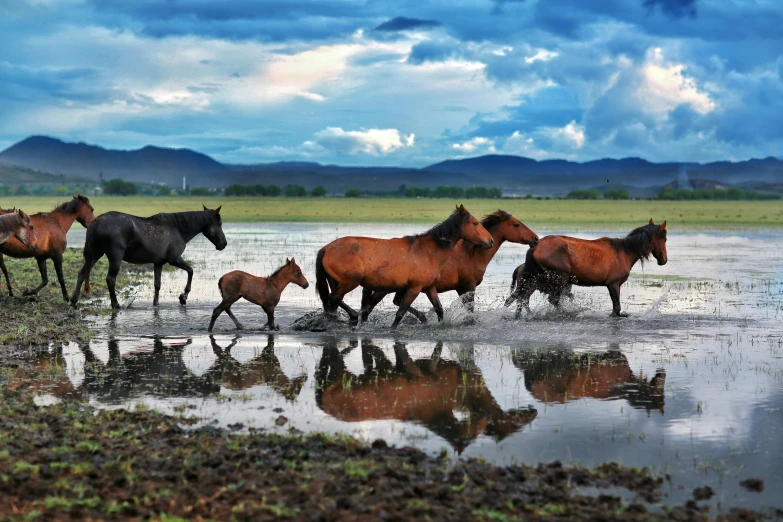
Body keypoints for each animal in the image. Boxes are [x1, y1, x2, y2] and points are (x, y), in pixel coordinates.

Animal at [69, 204, 228, 308]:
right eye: (219, 223)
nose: (224, 244)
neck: (177, 228)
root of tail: (96, 221)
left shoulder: (158, 263)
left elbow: (157, 284)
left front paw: (156, 303)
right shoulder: (175, 260)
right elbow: (191, 271)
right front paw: (183, 297)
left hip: (93, 254)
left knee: (82, 273)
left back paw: (74, 300)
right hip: (115, 259)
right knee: (110, 279)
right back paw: (115, 304)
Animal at [316, 205, 494, 328]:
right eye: (475, 223)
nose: (490, 241)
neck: (428, 251)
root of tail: (327, 248)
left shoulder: (429, 288)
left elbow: (439, 309)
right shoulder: (414, 288)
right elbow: (400, 313)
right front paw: (394, 329)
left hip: (337, 282)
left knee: (334, 302)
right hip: (350, 282)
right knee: (334, 298)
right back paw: (353, 317)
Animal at [356, 208, 536, 320]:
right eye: (516, 224)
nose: (535, 238)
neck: (472, 253)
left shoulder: (459, 289)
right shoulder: (468, 287)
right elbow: (470, 309)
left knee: (391, 302)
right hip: (386, 288)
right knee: (374, 305)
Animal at [502, 217, 668, 314]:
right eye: (664, 239)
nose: (664, 260)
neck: (624, 252)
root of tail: (535, 247)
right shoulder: (613, 284)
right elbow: (616, 308)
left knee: (520, 300)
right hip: (561, 278)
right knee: (552, 300)